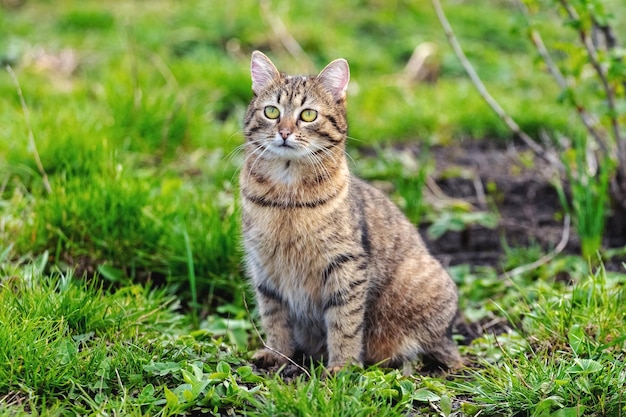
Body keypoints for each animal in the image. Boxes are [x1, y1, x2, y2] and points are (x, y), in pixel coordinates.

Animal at [239, 50, 458, 372]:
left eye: (308, 114)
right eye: (271, 112)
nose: (284, 132)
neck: (287, 196)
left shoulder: (345, 264)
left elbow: (345, 321)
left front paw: (342, 367)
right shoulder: (263, 267)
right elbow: (273, 317)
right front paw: (277, 354)